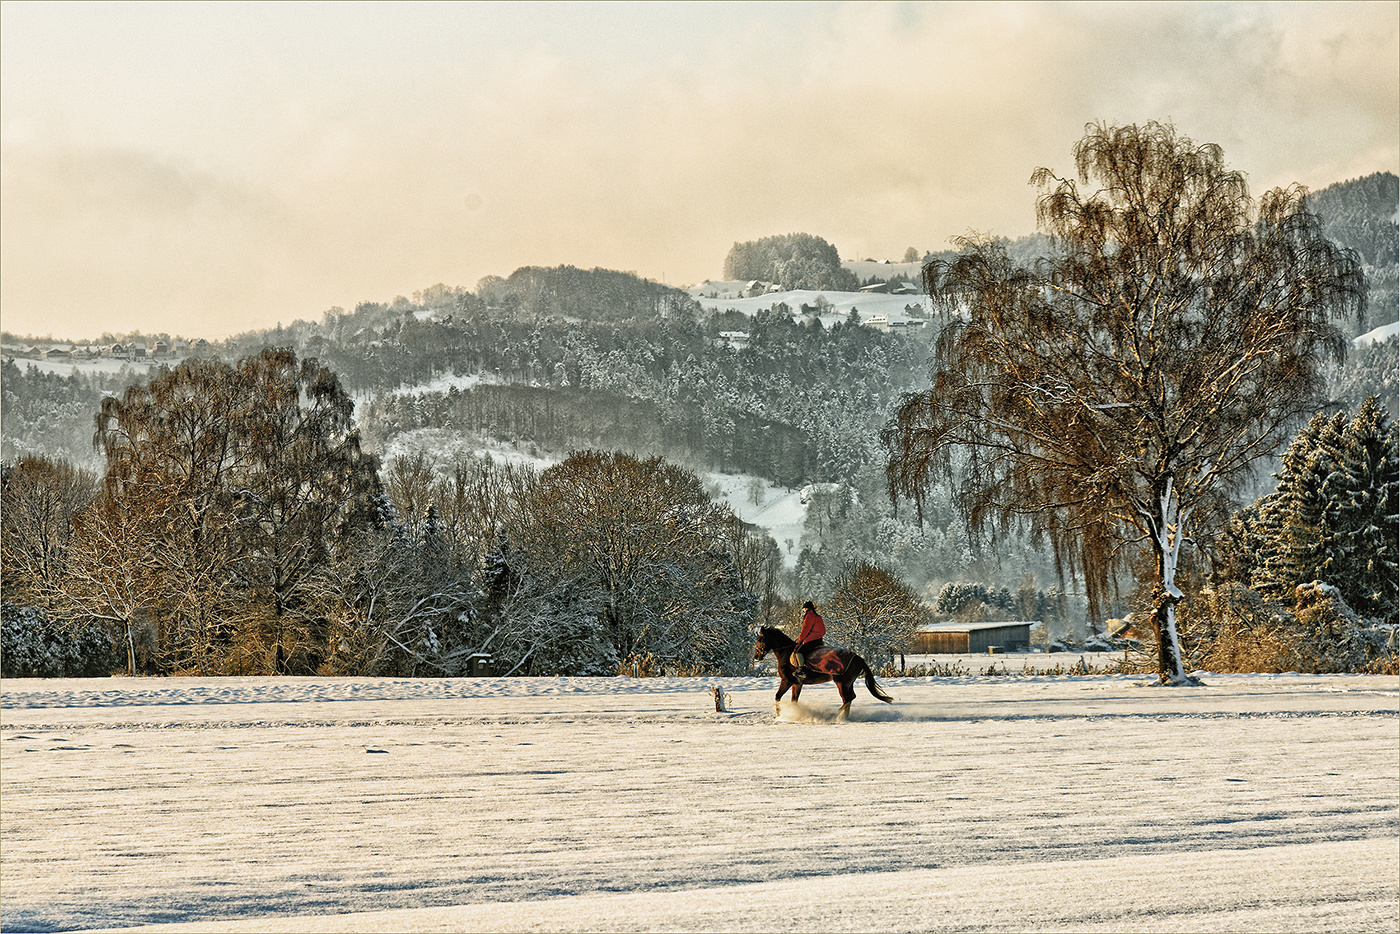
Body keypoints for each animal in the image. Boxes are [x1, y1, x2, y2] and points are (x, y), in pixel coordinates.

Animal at [756, 627, 896, 722]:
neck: (786, 653)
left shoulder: (787, 681)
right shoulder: (797, 684)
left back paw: (838, 715)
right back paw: (844, 717)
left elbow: (777, 697)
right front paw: (793, 713)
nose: (756, 656)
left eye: (760, 639)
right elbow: (793, 700)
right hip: (848, 683)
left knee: (847, 698)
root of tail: (859, 658)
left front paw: (780, 715)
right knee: (850, 697)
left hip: (841, 682)